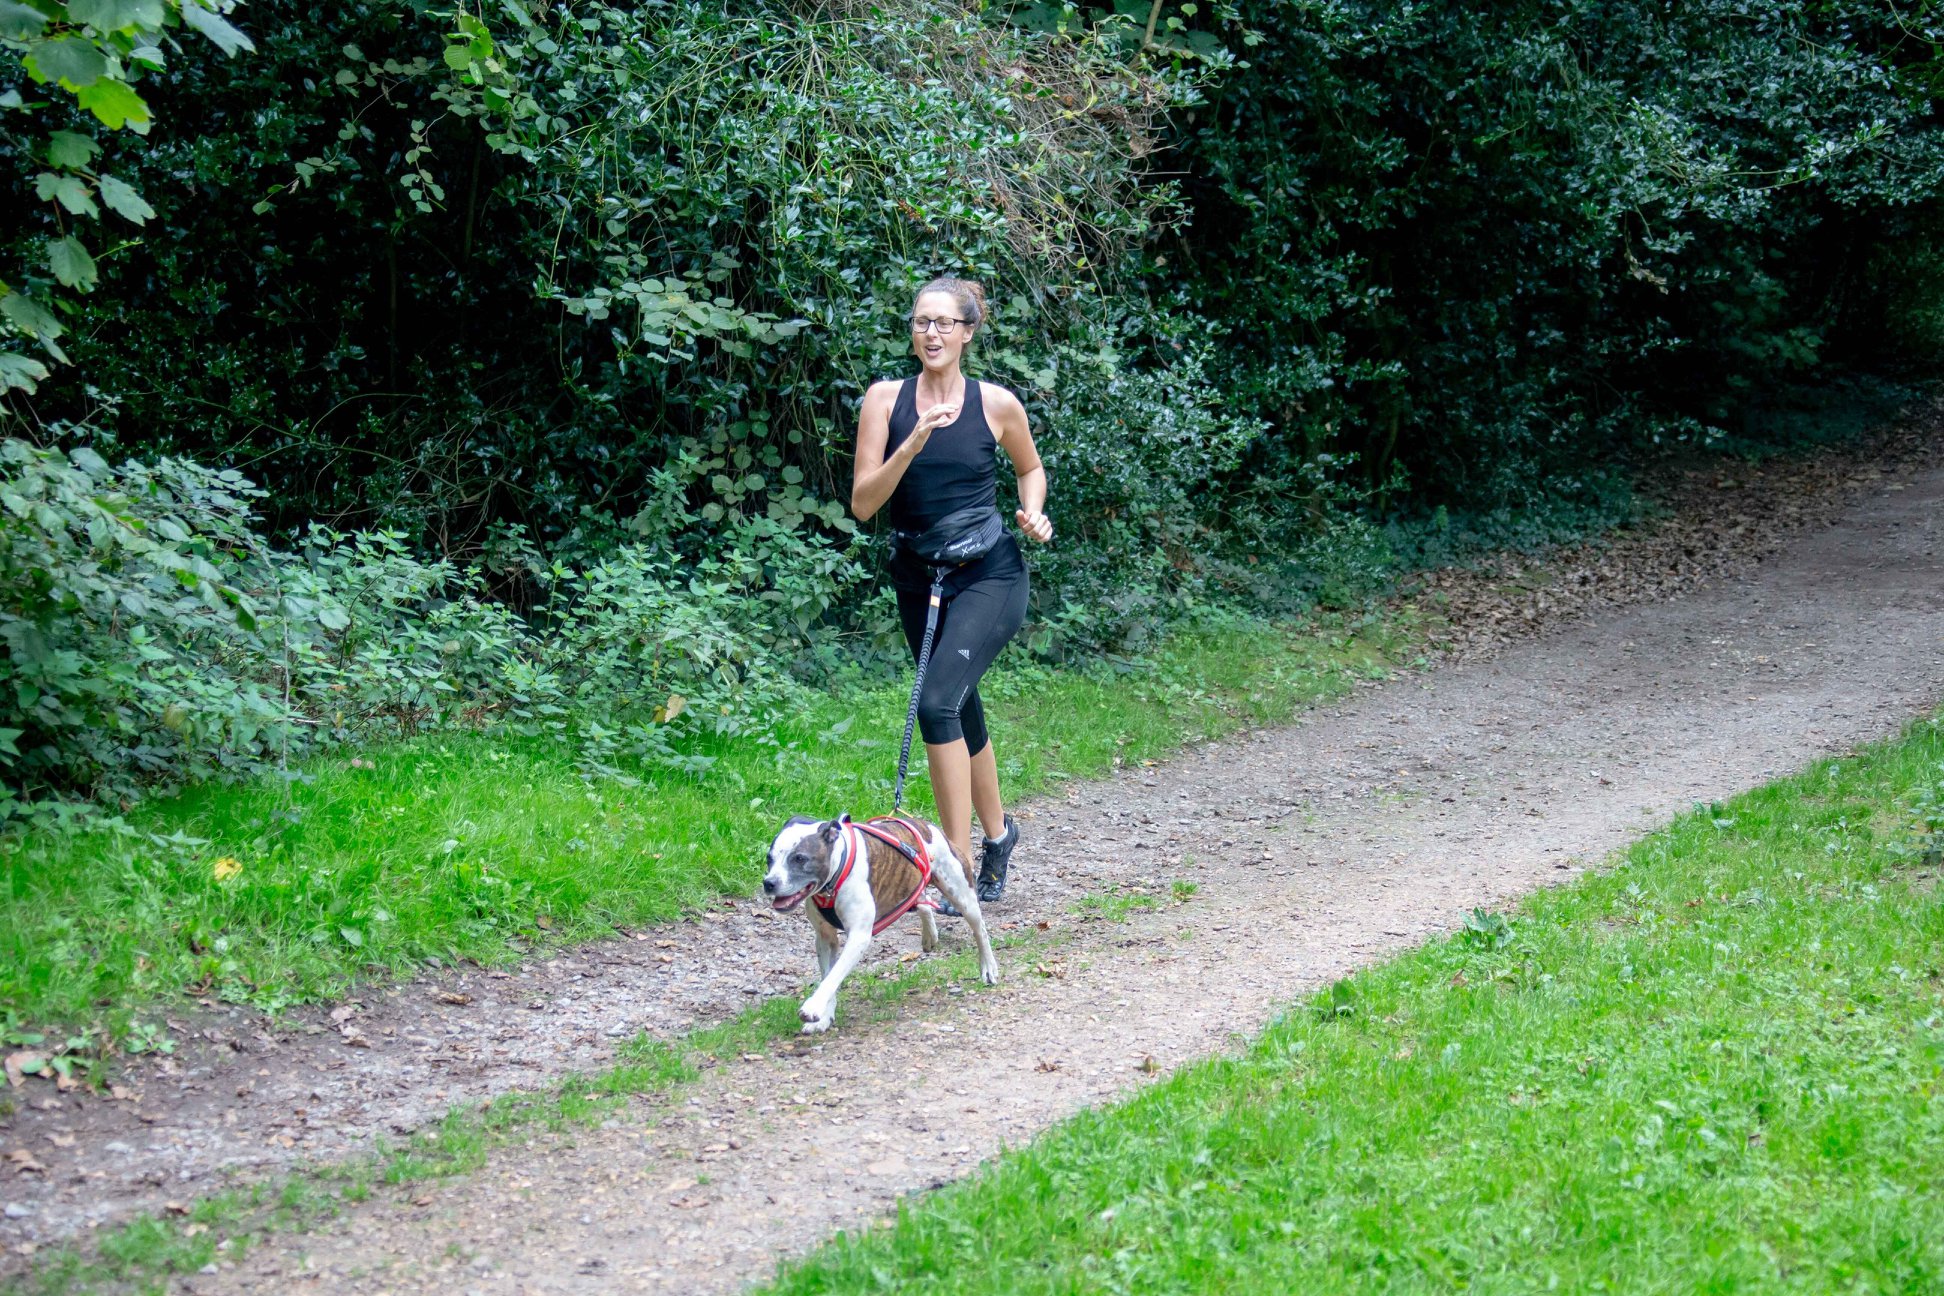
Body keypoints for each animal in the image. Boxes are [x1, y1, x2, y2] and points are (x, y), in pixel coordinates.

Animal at [762, 812, 1003, 1033]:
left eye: (799, 858)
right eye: (769, 858)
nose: (769, 882)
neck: (834, 878)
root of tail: (926, 826)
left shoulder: (858, 937)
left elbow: (834, 976)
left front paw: (813, 1007)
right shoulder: (825, 937)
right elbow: (828, 975)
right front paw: (823, 1018)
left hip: (961, 893)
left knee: (980, 930)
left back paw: (989, 967)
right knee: (923, 903)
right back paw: (930, 935)